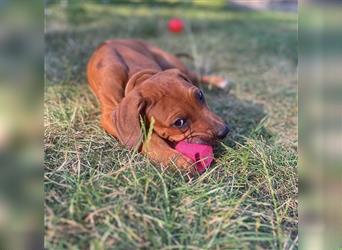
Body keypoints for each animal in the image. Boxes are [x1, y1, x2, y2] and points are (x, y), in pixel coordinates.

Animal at [87, 39, 228, 174]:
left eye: (200, 95)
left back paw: (219, 81)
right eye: (179, 122)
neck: (135, 76)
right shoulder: (109, 116)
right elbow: (149, 139)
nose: (224, 131)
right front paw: (176, 159)